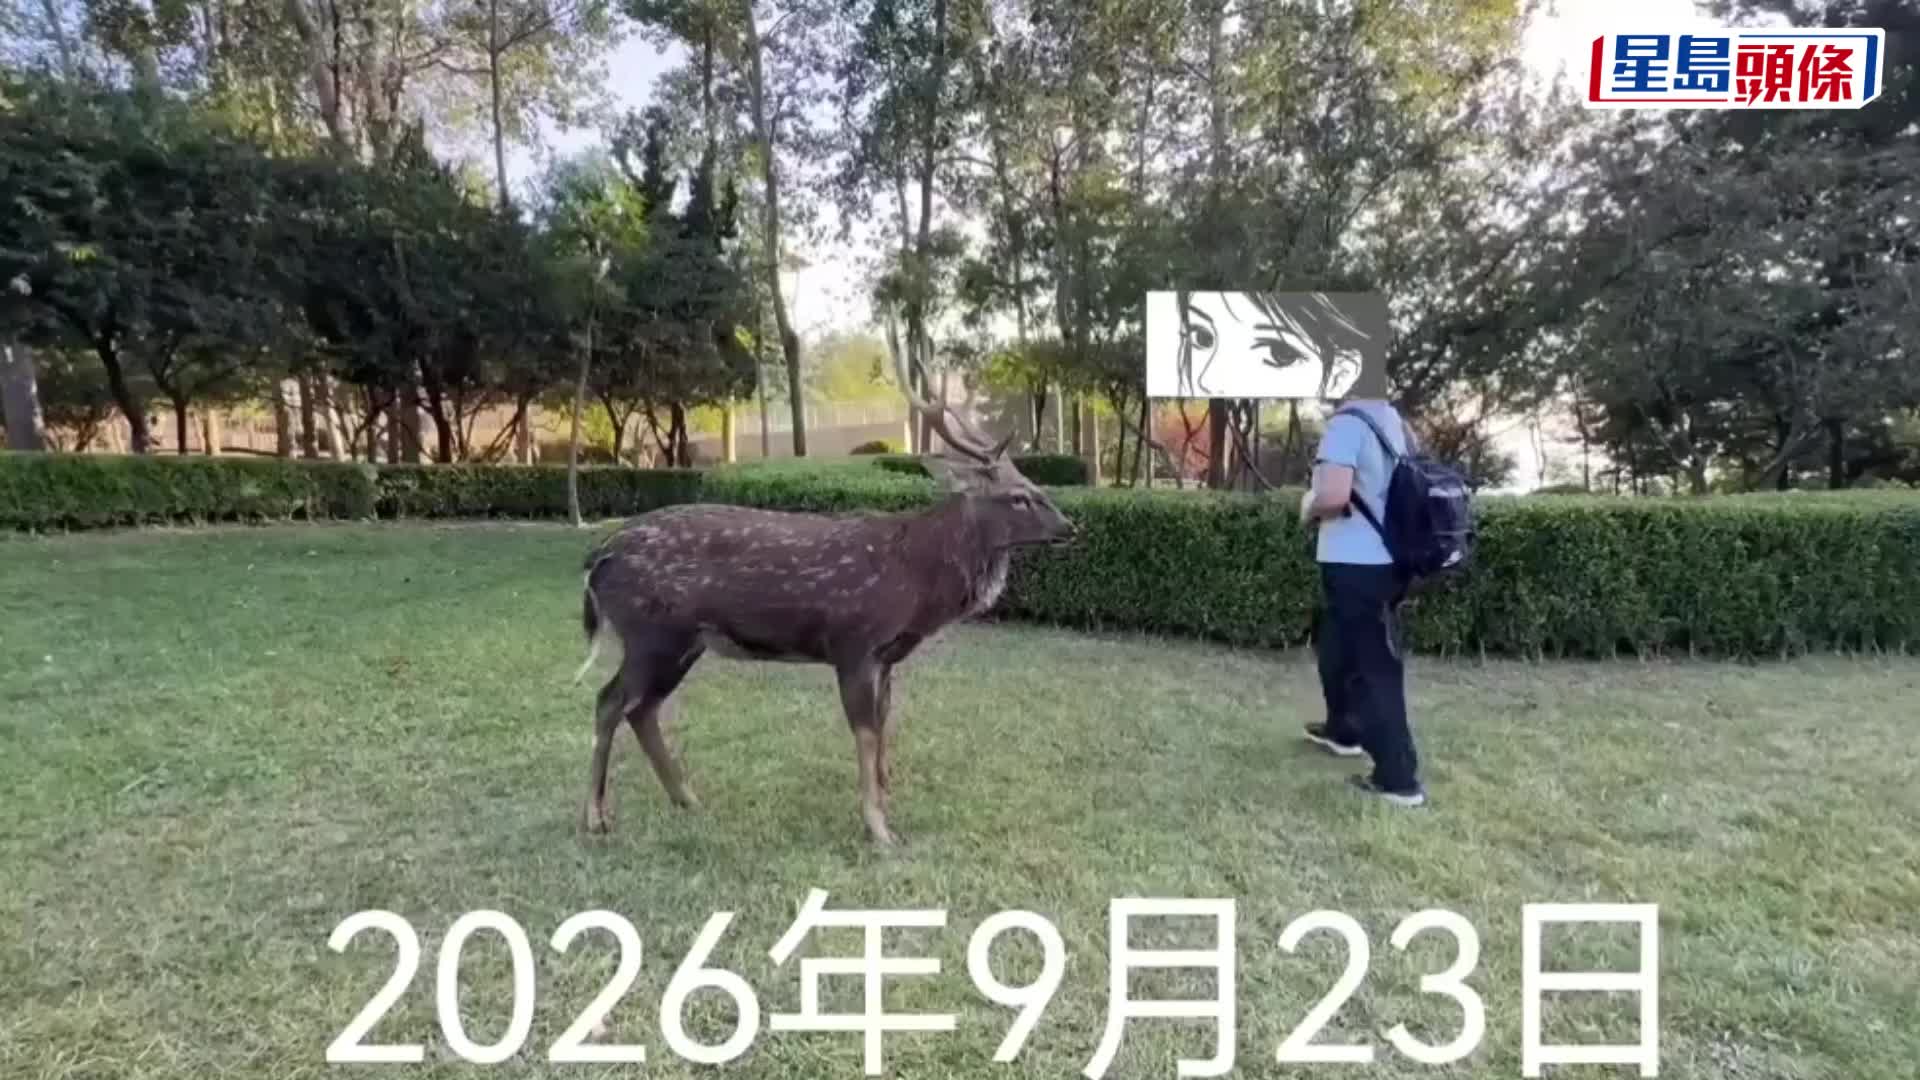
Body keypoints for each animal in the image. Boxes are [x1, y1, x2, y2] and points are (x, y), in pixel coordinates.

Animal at [572, 364, 1079, 846]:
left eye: (1033, 483)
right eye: (1018, 497)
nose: (1070, 527)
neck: (915, 583)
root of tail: (598, 558)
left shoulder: (886, 657)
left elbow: (883, 729)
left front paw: (886, 803)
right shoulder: (853, 642)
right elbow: (865, 734)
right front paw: (880, 831)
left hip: (682, 642)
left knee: (642, 709)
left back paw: (687, 799)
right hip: (650, 632)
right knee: (609, 700)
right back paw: (595, 818)